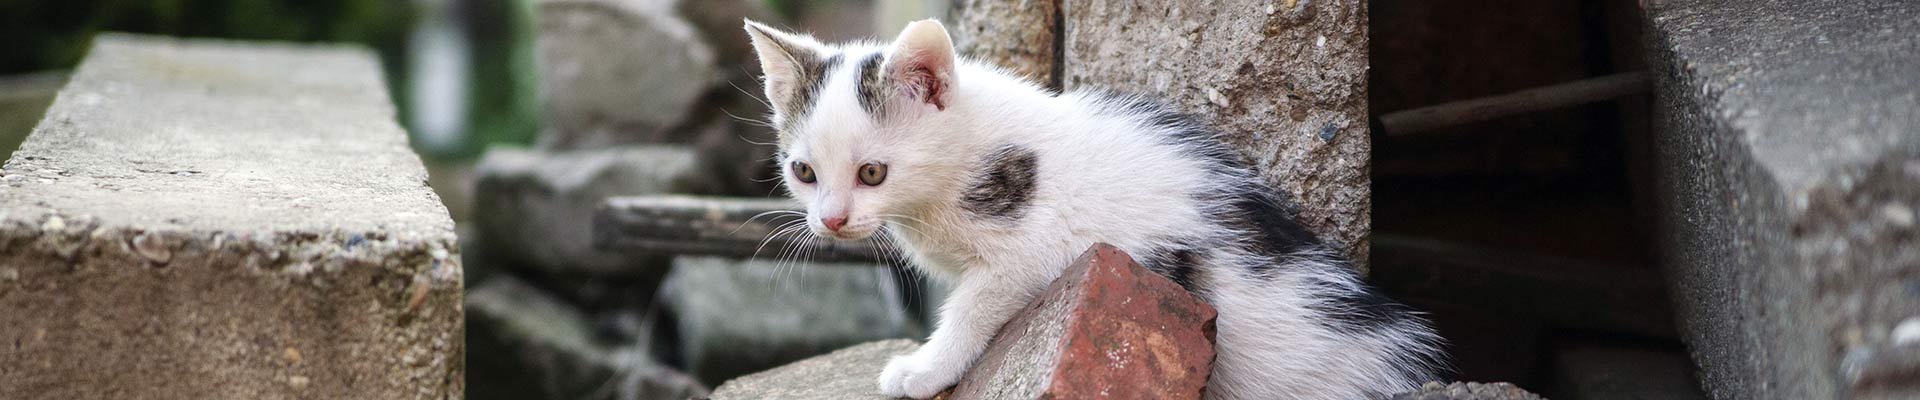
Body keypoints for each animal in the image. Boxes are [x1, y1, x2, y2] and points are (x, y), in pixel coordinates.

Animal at [741, 18, 1443, 400]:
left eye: (872, 173)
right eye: (803, 173)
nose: (831, 220)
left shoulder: (1035, 249)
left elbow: (974, 306)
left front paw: (924, 367)